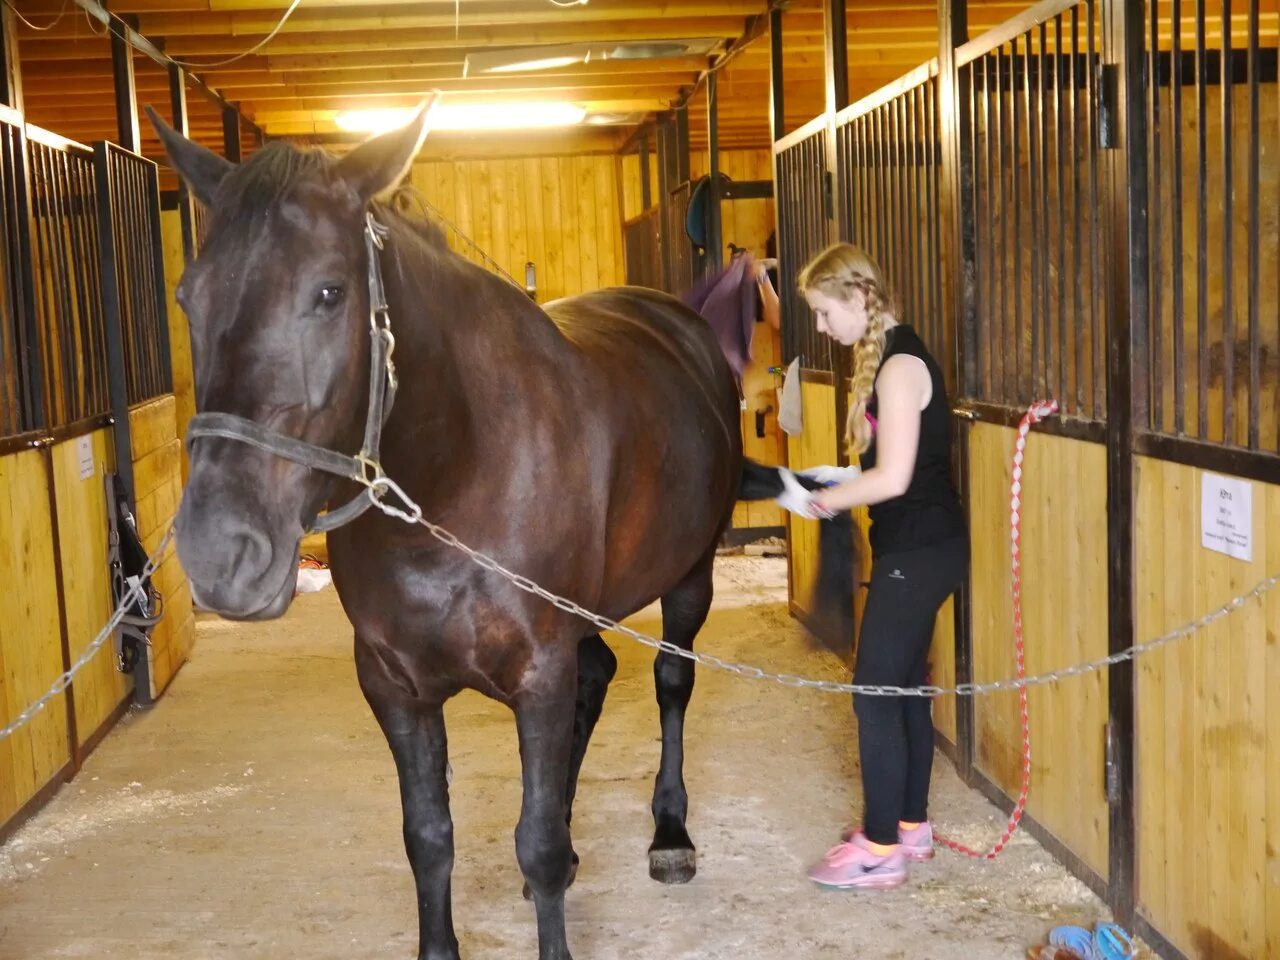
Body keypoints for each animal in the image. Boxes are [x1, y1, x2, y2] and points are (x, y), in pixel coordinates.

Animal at [147, 97, 849, 960]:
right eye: (189, 296)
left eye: (329, 292)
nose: (222, 554)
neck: (455, 481)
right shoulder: (395, 688)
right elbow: (430, 838)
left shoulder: (538, 673)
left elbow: (535, 842)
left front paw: (570, 872)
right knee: (597, 680)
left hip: (687, 582)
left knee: (670, 685)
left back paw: (670, 834)